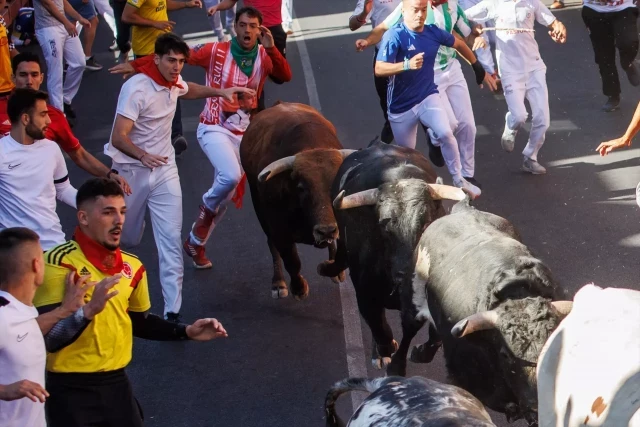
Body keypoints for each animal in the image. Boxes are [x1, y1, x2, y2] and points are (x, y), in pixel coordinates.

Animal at [240, 102, 352, 300]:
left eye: (338, 184)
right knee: (272, 244)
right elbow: (292, 261)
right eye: (301, 188)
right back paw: (278, 283)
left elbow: (342, 259)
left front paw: (329, 268)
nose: (326, 230)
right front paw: (299, 288)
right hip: (259, 206)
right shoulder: (278, 228)